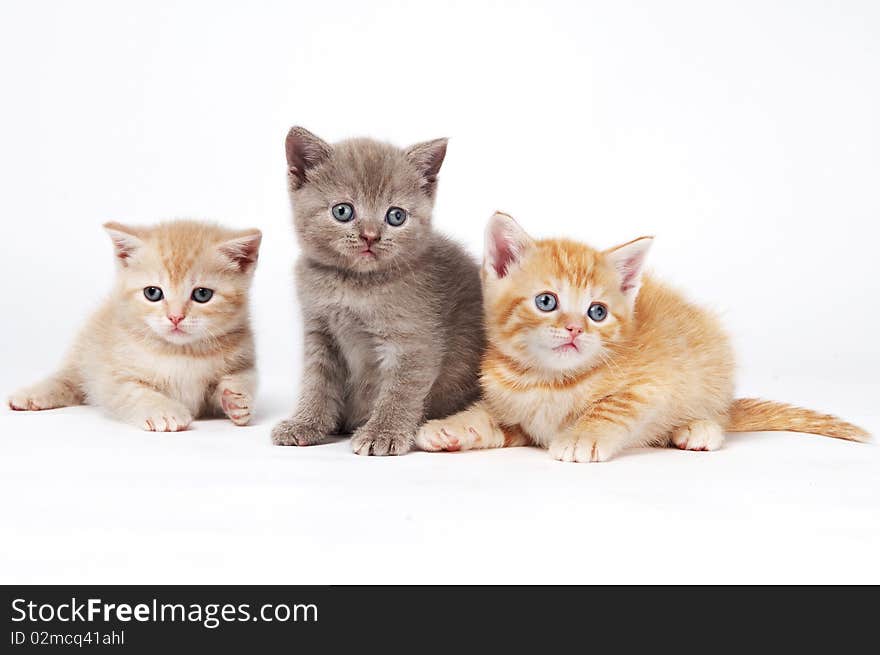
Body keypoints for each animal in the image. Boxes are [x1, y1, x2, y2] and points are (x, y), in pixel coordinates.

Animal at [272, 127, 484, 456]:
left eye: (396, 216)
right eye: (342, 211)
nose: (370, 236)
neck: (354, 284)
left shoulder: (414, 339)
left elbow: (401, 389)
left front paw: (382, 432)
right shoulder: (320, 334)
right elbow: (317, 383)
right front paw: (305, 424)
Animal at [414, 214, 868, 462]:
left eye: (597, 312)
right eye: (546, 301)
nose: (575, 328)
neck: (545, 380)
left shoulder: (651, 385)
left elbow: (612, 408)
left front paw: (581, 437)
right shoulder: (515, 417)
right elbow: (485, 418)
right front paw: (450, 429)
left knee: (717, 415)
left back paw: (699, 429)